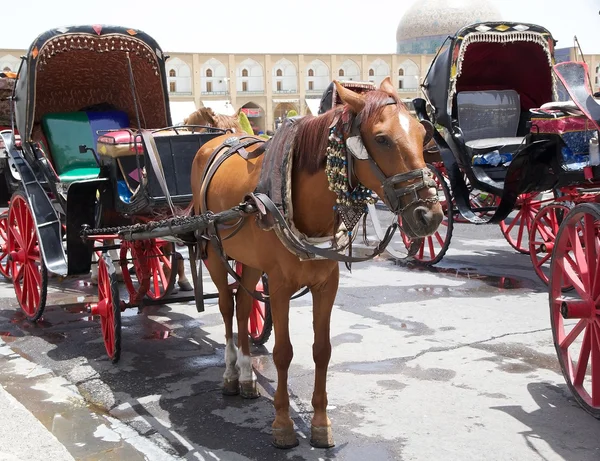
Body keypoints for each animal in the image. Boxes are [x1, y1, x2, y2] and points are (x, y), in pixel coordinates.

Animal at [190, 79, 442, 450]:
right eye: (381, 138)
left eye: (423, 134)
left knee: (244, 305)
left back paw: (249, 376)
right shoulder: (280, 287)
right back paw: (231, 373)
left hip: (250, 262)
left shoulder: (326, 285)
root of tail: (216, 139)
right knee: (225, 306)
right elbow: (283, 352)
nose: (430, 215)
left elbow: (322, 350)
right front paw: (283, 424)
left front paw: (321, 424)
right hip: (213, 254)